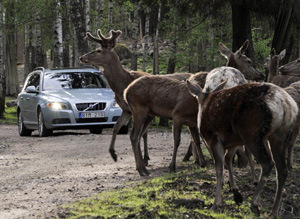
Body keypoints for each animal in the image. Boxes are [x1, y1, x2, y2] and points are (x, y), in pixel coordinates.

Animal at [188, 78, 298, 216]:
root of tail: (286, 105)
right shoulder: (233, 141)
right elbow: (227, 160)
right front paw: (234, 193)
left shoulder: (214, 139)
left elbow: (219, 168)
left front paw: (217, 203)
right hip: (279, 135)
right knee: (282, 169)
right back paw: (273, 212)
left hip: (252, 133)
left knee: (268, 163)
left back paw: (254, 204)